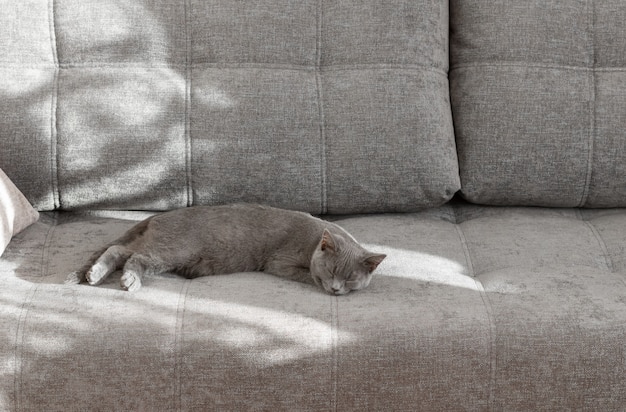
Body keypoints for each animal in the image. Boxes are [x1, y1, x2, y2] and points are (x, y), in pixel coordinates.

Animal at [66, 204, 382, 294]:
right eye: (331, 269)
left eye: (351, 277)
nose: (336, 288)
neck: (314, 240)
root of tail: (156, 217)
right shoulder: (280, 262)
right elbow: (305, 275)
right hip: (172, 250)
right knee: (134, 257)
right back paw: (128, 280)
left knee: (118, 250)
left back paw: (94, 274)